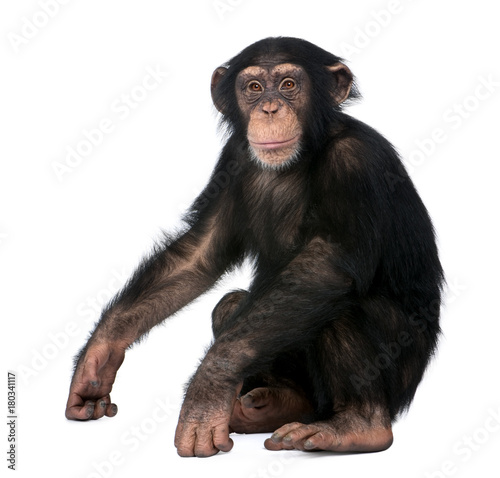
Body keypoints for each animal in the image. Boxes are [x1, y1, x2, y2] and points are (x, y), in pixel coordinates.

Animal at [64, 36, 444, 456]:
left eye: (289, 85)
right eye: (254, 87)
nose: (270, 107)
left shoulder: (356, 162)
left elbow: (330, 263)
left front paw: (207, 389)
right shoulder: (233, 157)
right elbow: (200, 254)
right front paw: (99, 357)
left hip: (403, 375)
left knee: (338, 304)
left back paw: (356, 426)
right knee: (231, 306)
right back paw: (274, 406)